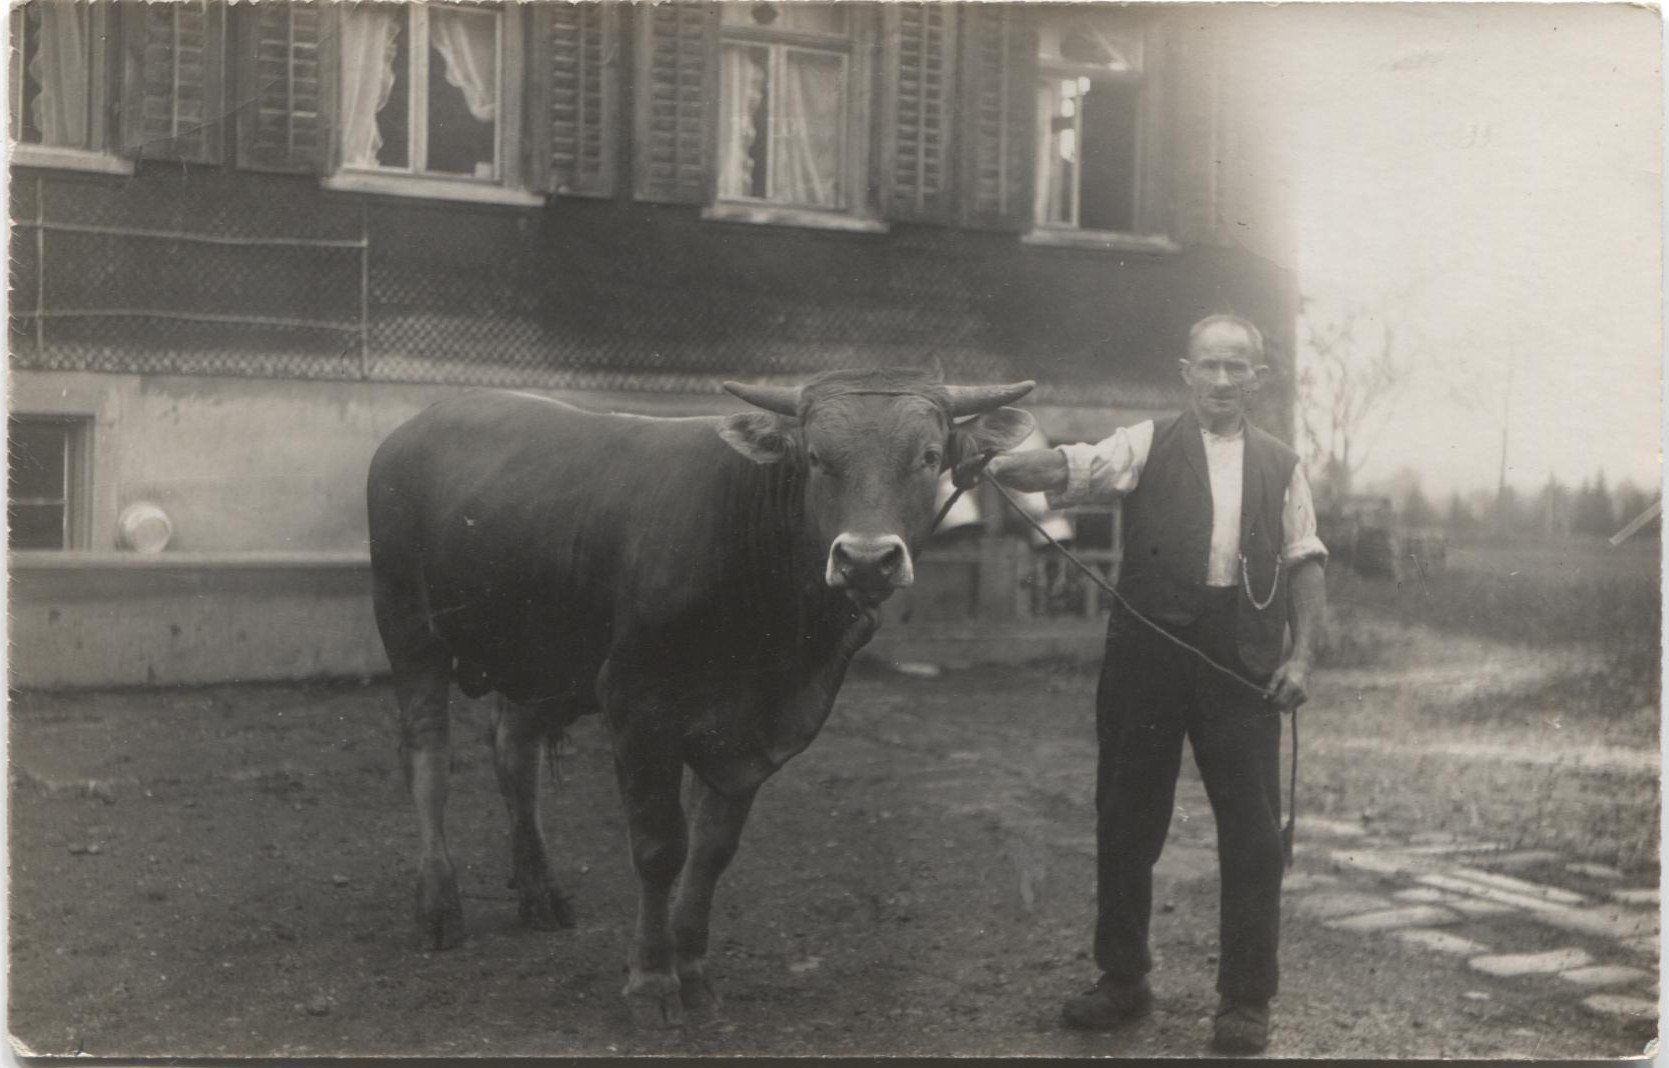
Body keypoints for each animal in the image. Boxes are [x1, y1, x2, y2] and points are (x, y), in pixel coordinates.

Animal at [366, 368, 1034, 1026]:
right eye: (817, 457)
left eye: (929, 456)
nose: (867, 560)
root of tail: (411, 430)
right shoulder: (637, 707)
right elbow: (660, 848)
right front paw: (651, 979)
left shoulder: (753, 734)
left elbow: (711, 852)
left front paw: (692, 972)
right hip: (409, 629)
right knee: (429, 760)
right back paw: (438, 906)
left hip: (538, 656)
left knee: (513, 754)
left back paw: (541, 893)